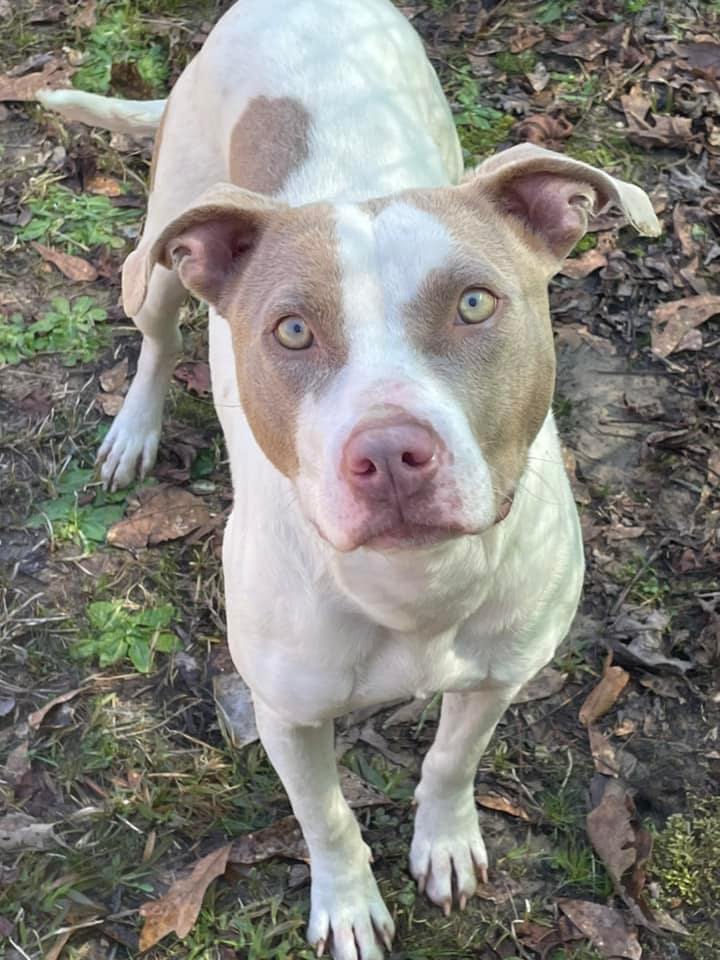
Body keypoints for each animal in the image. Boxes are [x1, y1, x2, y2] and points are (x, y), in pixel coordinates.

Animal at [39, 3, 660, 956]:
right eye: (292, 330)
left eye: (474, 303)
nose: (392, 454)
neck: (414, 584)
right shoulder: (286, 716)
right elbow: (326, 816)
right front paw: (348, 903)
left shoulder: (501, 675)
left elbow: (451, 760)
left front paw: (444, 839)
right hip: (160, 254)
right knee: (157, 334)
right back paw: (135, 427)